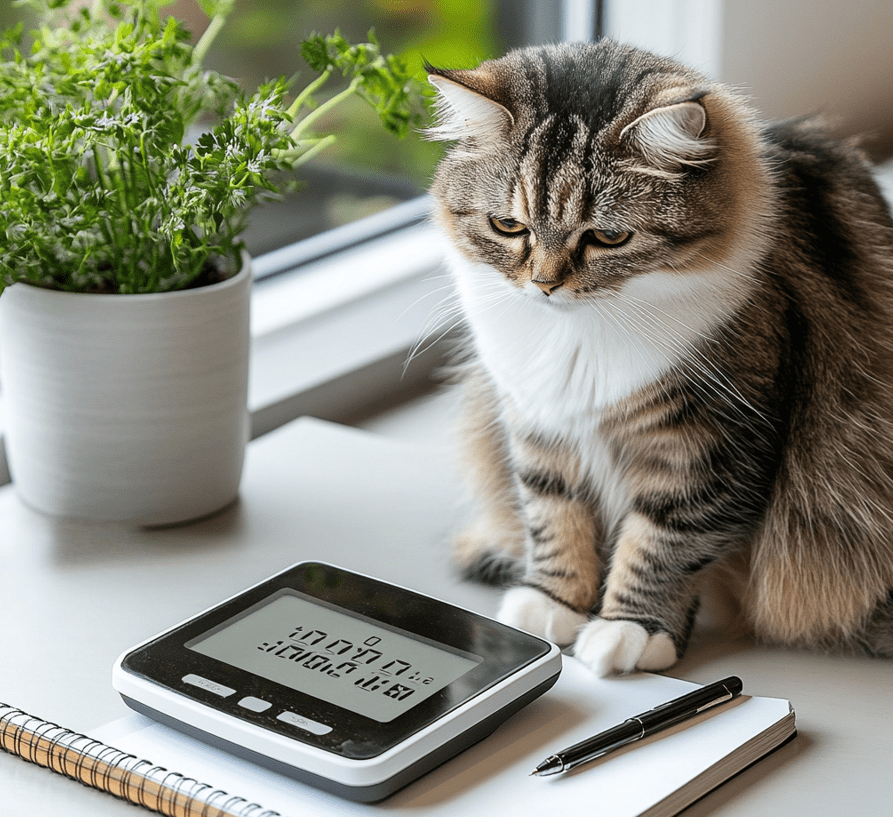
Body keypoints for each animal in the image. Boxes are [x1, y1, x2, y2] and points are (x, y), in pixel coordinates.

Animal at [422, 38, 892, 676]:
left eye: (608, 238)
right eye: (508, 226)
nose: (544, 285)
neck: (577, 339)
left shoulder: (709, 446)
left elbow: (663, 543)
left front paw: (629, 630)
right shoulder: (538, 424)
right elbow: (553, 516)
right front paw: (551, 603)